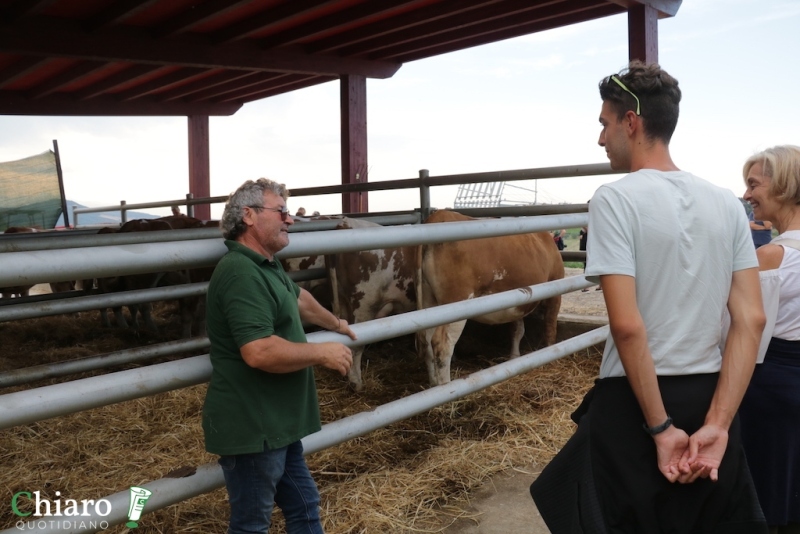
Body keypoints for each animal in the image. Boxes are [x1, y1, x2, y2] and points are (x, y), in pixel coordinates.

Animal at [416, 210, 564, 390]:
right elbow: (550, 328)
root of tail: (439, 215)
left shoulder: (517, 301)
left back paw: (433, 384)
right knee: (442, 345)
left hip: (429, 302)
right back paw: (446, 387)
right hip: (456, 303)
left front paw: (514, 357)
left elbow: (517, 330)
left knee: (427, 341)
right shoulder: (555, 291)